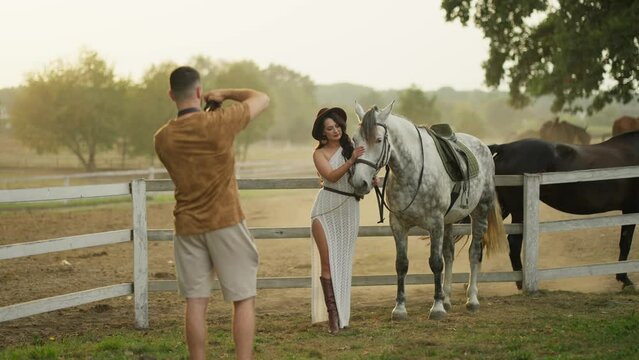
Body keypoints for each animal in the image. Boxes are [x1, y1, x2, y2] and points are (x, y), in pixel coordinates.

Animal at [350, 102, 504, 320]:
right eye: (355, 139)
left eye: (378, 140)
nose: (359, 183)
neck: (412, 171)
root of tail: (483, 147)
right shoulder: (398, 225)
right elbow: (402, 264)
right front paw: (400, 309)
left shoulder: (435, 224)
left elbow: (436, 263)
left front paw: (437, 308)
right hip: (449, 221)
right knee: (449, 254)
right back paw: (447, 299)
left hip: (479, 212)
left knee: (474, 253)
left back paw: (472, 300)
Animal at [490, 132, 639, 292]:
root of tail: (505, 148)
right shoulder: (631, 209)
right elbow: (626, 243)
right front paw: (624, 280)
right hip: (518, 210)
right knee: (514, 242)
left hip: (503, 208)